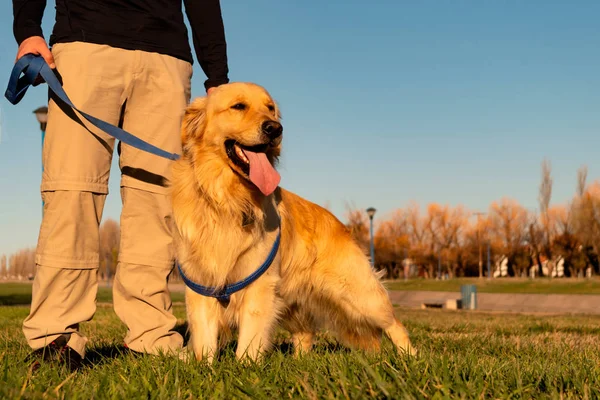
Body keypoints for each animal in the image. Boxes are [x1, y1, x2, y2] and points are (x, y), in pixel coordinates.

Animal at [168, 82, 412, 362]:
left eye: (270, 108)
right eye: (238, 106)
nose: (275, 128)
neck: (225, 200)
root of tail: (340, 225)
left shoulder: (259, 285)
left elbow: (249, 340)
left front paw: (244, 368)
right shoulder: (201, 285)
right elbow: (204, 341)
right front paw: (205, 367)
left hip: (359, 294)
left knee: (395, 324)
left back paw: (410, 357)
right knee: (305, 333)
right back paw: (299, 362)